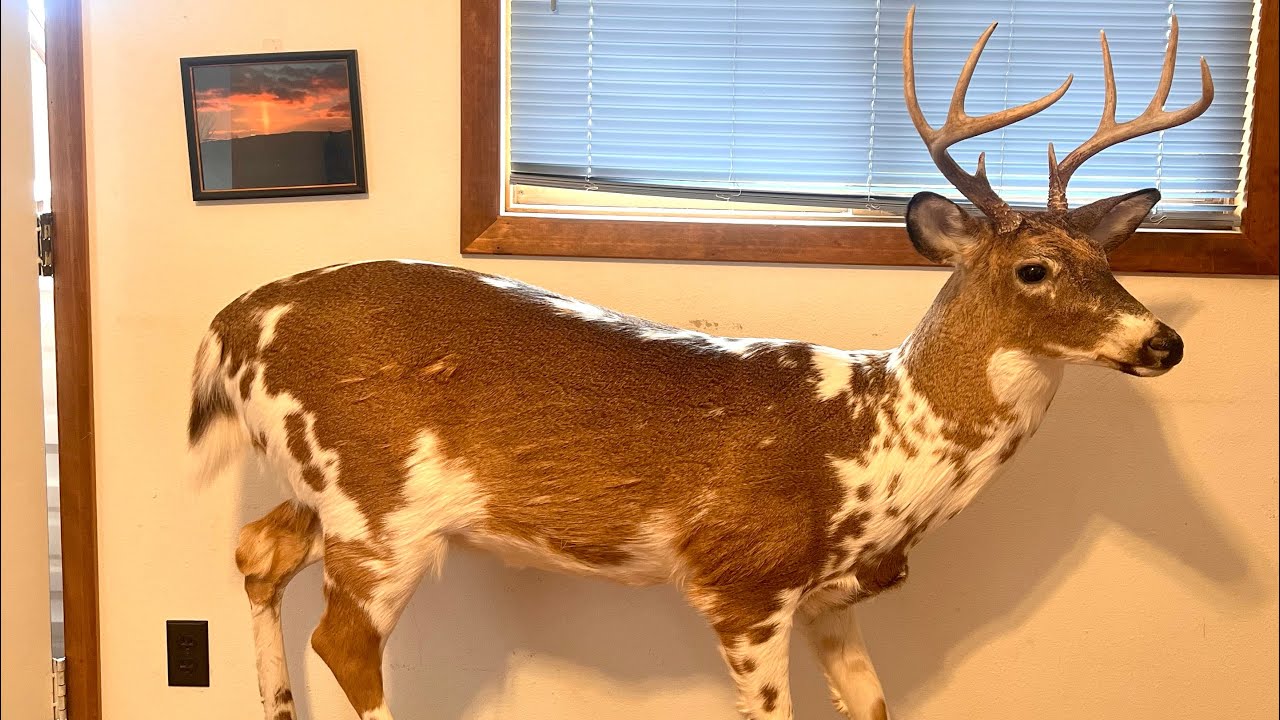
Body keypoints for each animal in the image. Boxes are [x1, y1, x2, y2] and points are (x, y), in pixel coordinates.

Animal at [187, 8, 1211, 720]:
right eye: (1034, 268)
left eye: (1108, 258)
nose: (1163, 343)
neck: (884, 450)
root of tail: (230, 324)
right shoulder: (744, 580)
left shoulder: (831, 597)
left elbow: (875, 705)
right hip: (376, 502)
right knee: (343, 640)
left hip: (319, 488)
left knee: (255, 552)